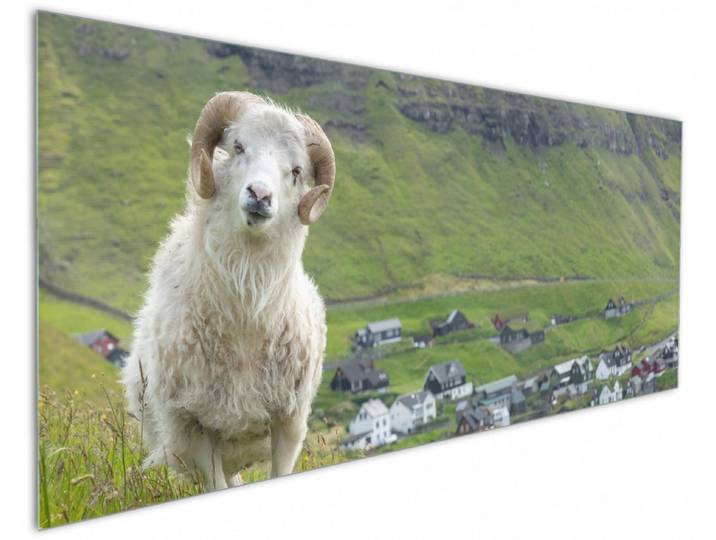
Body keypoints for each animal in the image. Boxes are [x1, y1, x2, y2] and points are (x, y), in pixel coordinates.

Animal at [121, 91, 335, 491]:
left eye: (296, 171)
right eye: (238, 146)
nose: (260, 195)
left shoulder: (289, 421)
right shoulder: (194, 426)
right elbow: (214, 481)